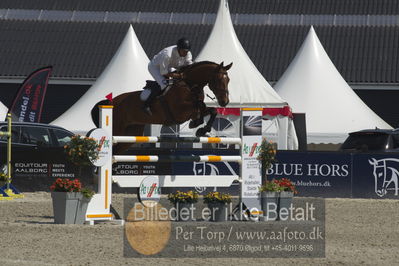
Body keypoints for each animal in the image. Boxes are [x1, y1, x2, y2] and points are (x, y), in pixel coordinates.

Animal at [92, 61, 233, 153]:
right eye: (218, 79)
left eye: (228, 80)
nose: (224, 102)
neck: (189, 85)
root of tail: (111, 102)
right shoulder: (180, 112)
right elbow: (198, 107)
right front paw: (197, 124)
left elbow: (211, 110)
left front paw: (201, 129)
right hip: (117, 128)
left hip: (131, 133)